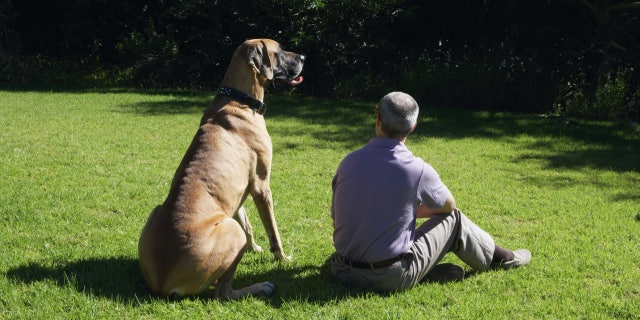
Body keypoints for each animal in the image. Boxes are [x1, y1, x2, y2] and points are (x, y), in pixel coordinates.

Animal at [139, 38, 304, 298]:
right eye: (279, 51)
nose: (303, 58)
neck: (240, 100)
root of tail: (165, 284)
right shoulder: (261, 187)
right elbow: (273, 232)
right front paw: (283, 258)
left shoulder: (238, 192)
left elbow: (248, 223)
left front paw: (254, 247)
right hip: (231, 231)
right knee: (223, 293)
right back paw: (261, 286)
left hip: (157, 212)